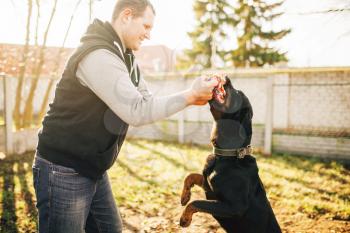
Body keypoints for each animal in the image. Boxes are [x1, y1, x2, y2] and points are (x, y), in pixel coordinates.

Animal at [180, 77, 282, 233]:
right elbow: (191, 176)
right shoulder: (208, 185)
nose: (226, 77)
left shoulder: (234, 206)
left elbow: (196, 202)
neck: (227, 155)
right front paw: (184, 196)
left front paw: (185, 218)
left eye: (238, 93)